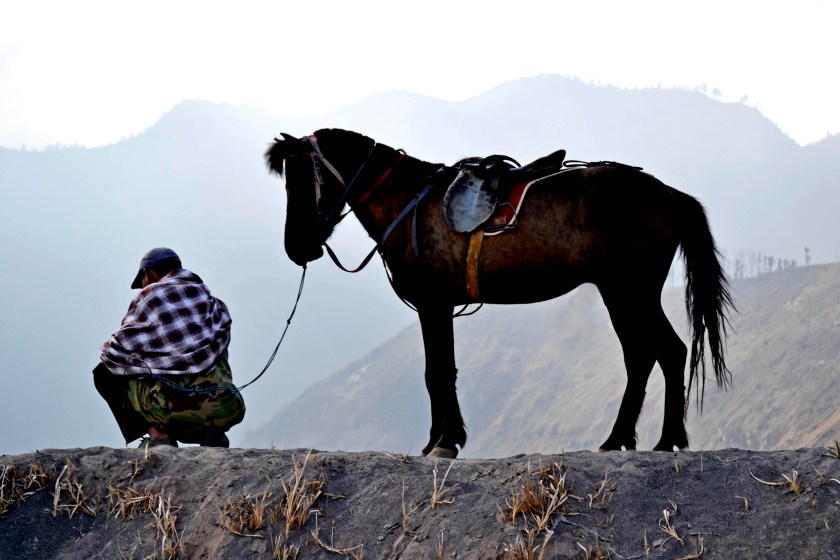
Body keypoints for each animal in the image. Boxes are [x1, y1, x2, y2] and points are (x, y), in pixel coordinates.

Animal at [265, 128, 733, 458]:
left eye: (303, 180)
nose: (296, 247)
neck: (407, 201)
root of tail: (668, 194)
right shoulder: (436, 307)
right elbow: (441, 371)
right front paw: (438, 439)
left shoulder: (434, 304)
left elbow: (437, 372)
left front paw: (446, 441)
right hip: (622, 293)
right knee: (645, 356)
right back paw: (622, 438)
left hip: (630, 290)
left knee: (665, 352)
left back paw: (663, 439)